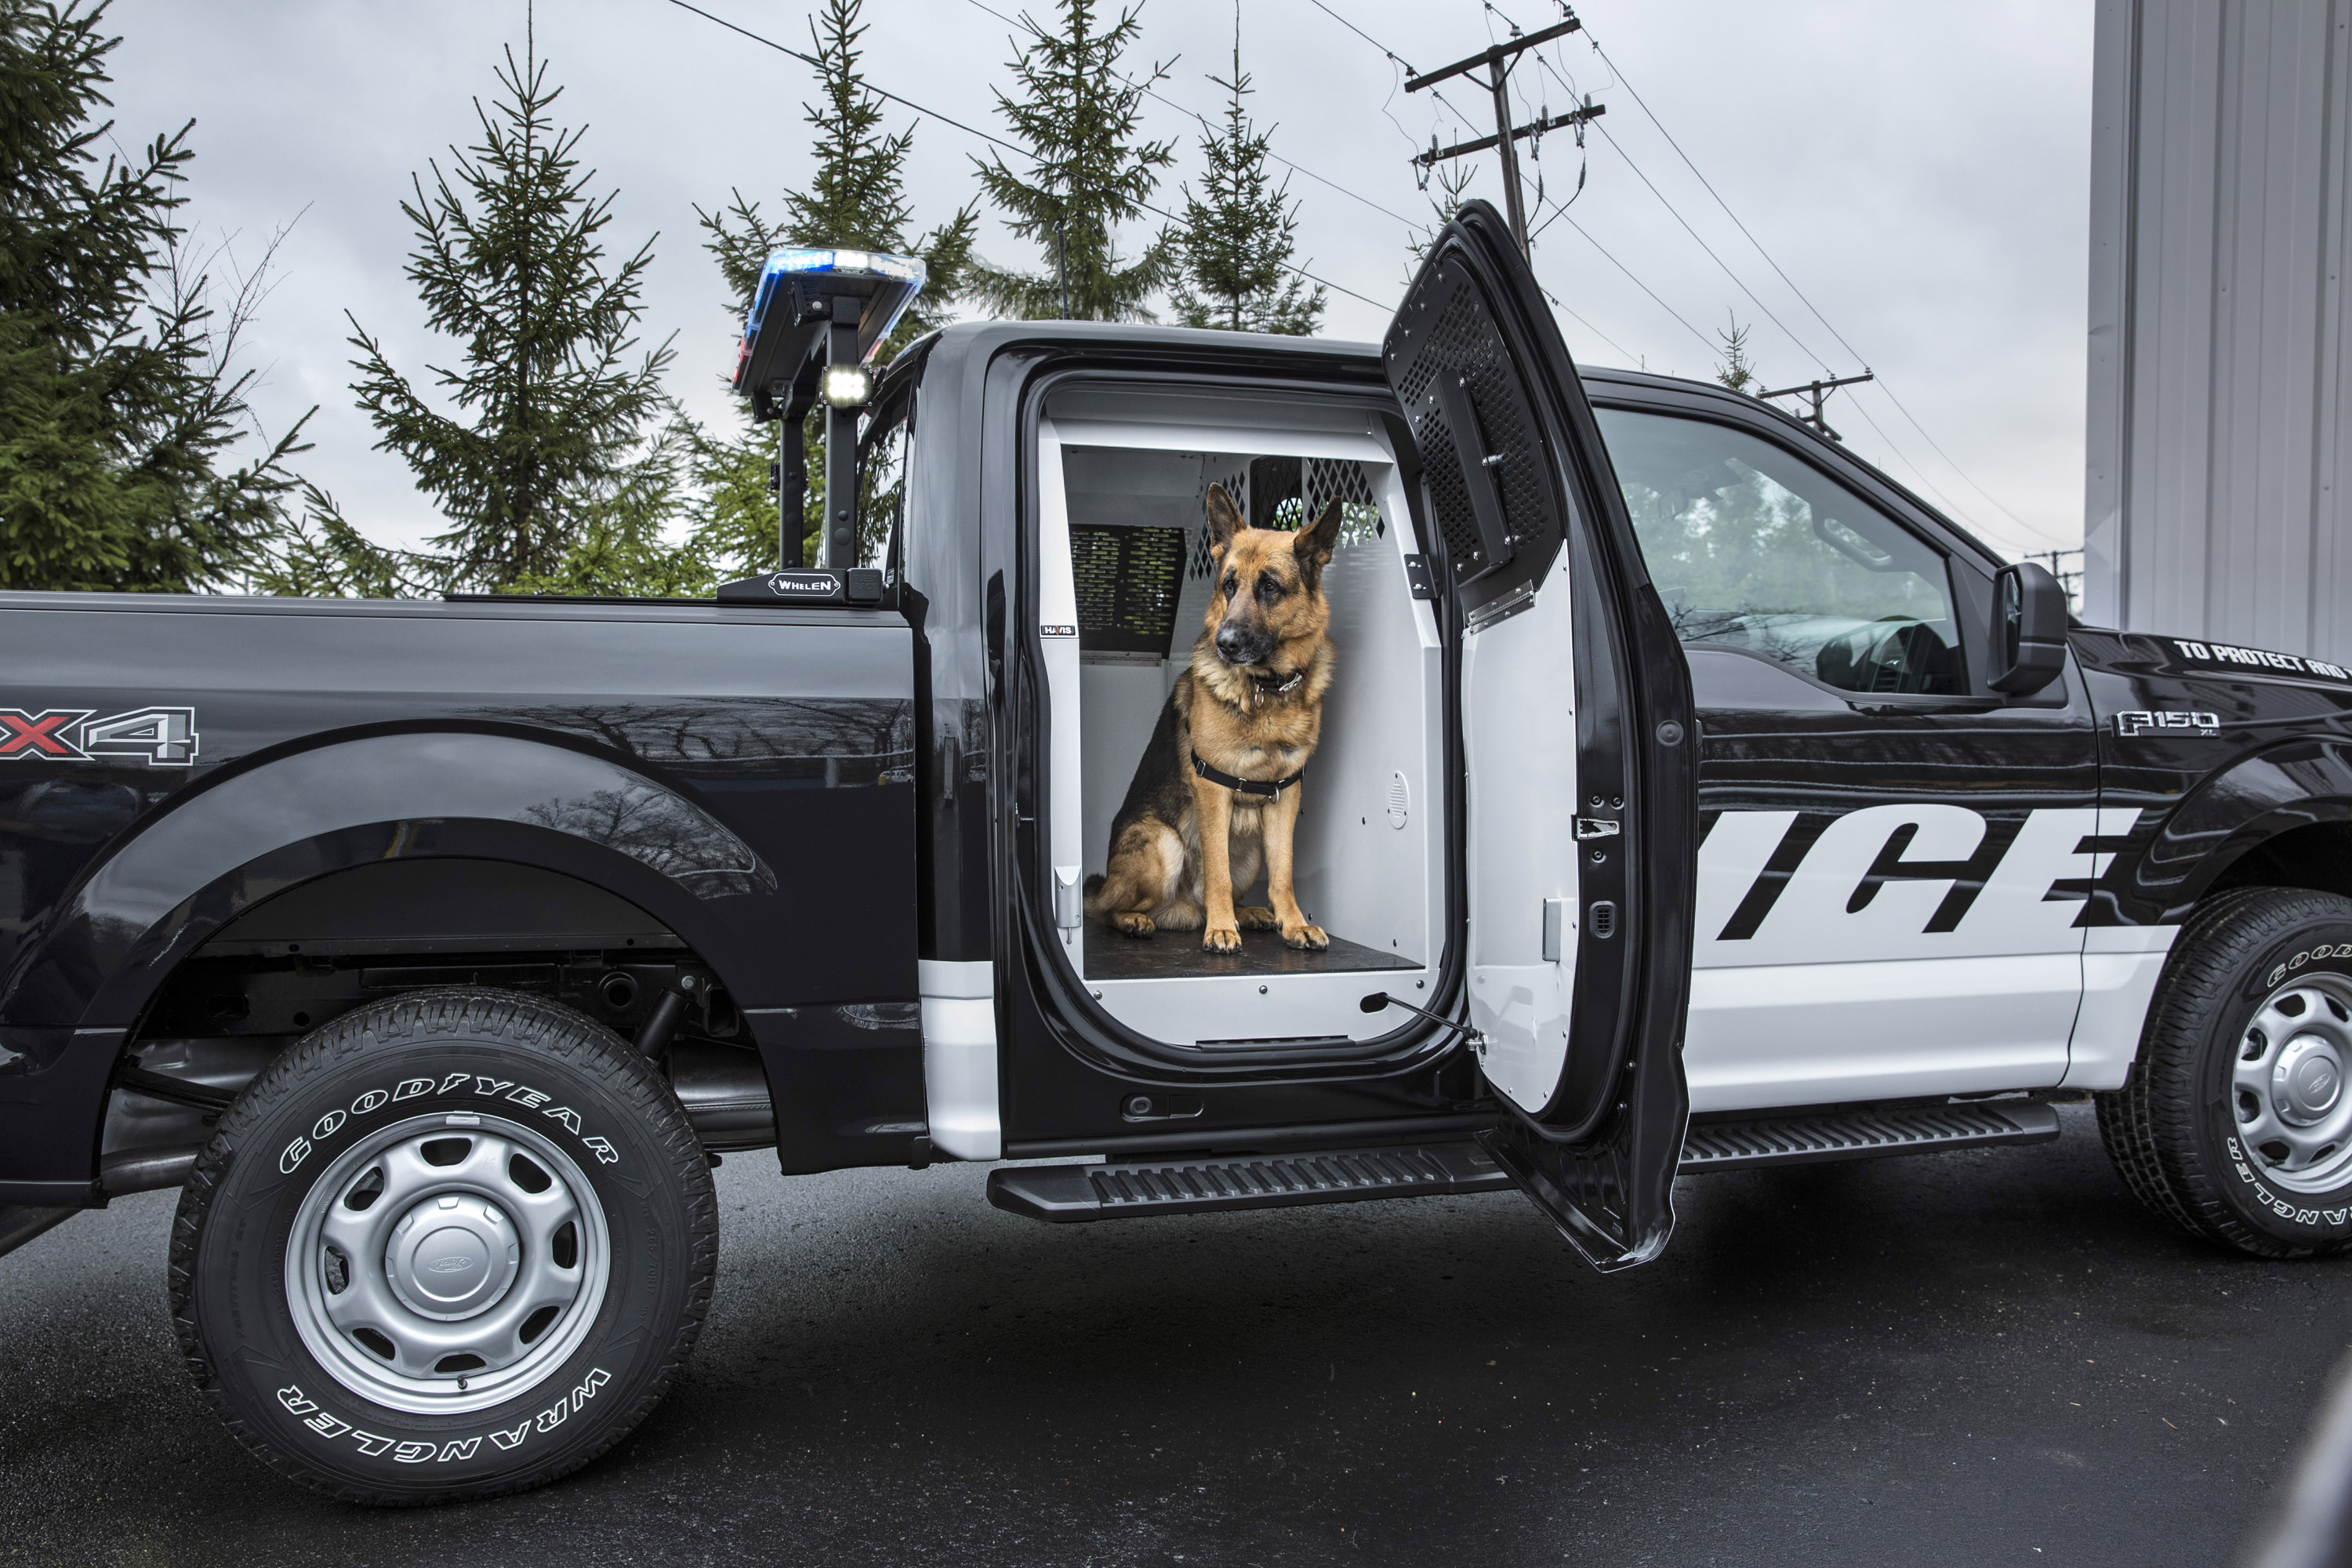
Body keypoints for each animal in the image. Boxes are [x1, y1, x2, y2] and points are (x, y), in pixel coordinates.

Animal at [1082, 479, 1345, 949]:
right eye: (1229, 585)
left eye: (1269, 587)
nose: (1225, 643)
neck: (1264, 690)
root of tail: (1179, 907)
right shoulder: (1213, 790)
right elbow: (1216, 869)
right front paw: (1221, 929)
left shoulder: (1286, 795)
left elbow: (1284, 871)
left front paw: (1294, 923)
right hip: (1163, 843)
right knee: (1109, 909)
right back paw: (1143, 920)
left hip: (1251, 852)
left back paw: (1249, 913)